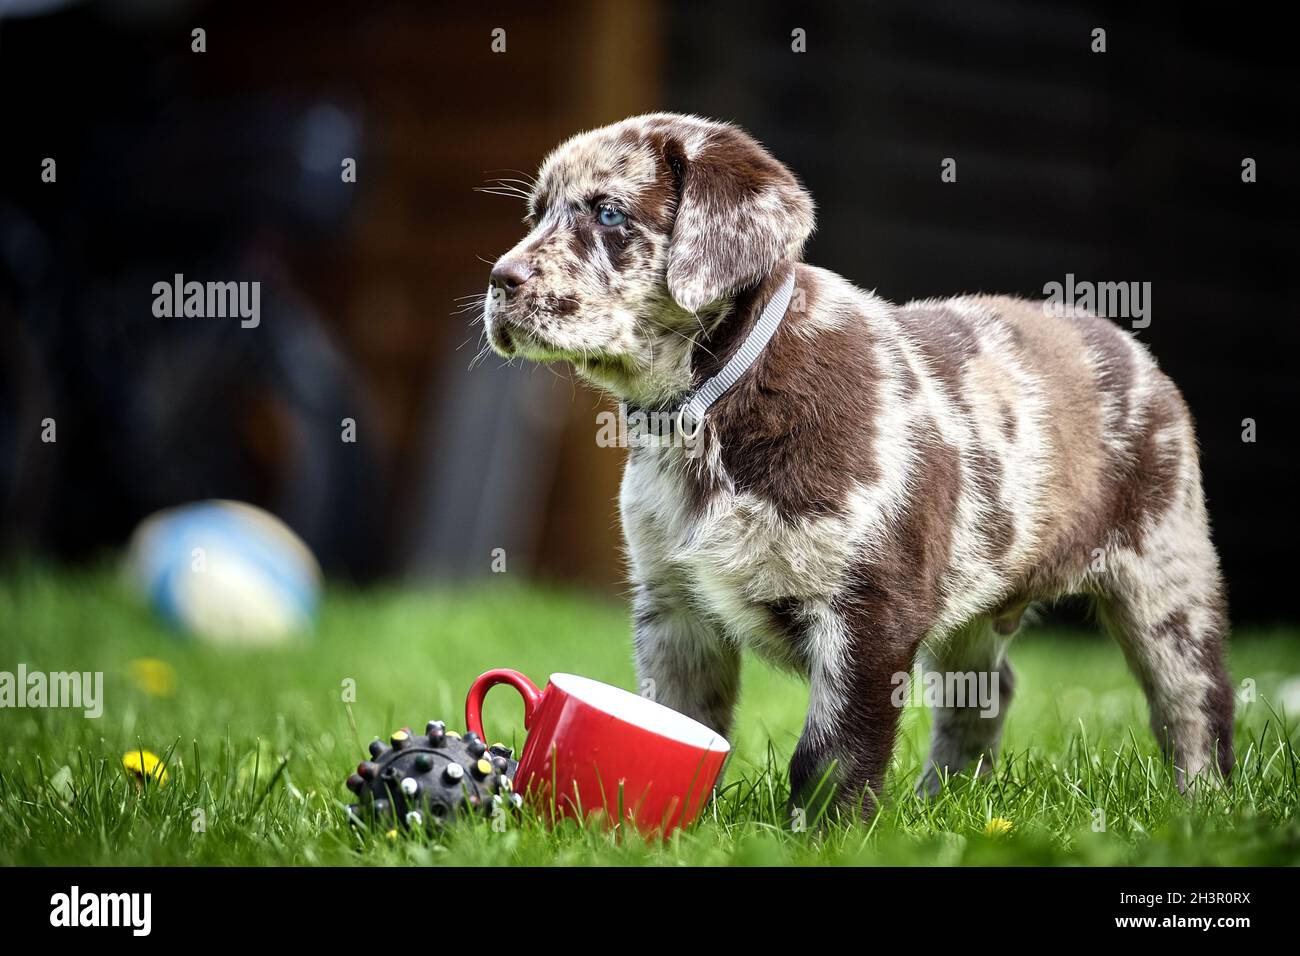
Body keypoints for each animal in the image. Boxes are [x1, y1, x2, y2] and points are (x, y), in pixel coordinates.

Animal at [483, 110, 1232, 816]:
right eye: (535, 215)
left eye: (609, 214)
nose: (499, 280)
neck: (712, 406)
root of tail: (1131, 348)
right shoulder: (674, 608)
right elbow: (682, 718)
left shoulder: (869, 611)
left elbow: (833, 750)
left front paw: (822, 833)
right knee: (985, 693)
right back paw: (941, 799)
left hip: (1165, 575)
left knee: (1195, 699)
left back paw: (1204, 803)